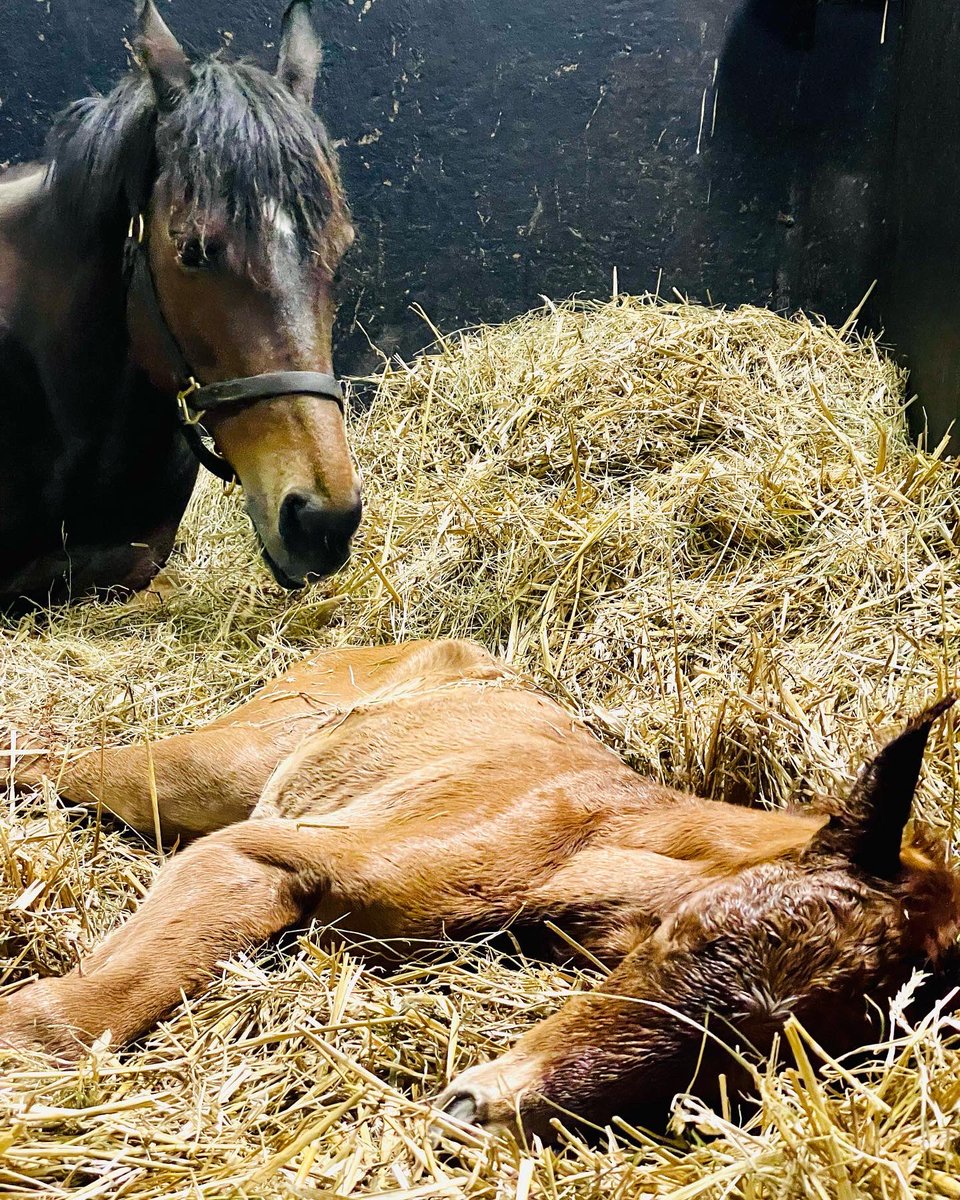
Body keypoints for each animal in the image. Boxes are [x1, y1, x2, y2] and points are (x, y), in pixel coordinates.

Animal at [4, 639, 958, 1139]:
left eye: (791, 1061)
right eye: (692, 936)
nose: (473, 1109)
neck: (586, 851)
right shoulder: (263, 852)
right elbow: (101, 999)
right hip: (207, 770)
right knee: (61, 760)